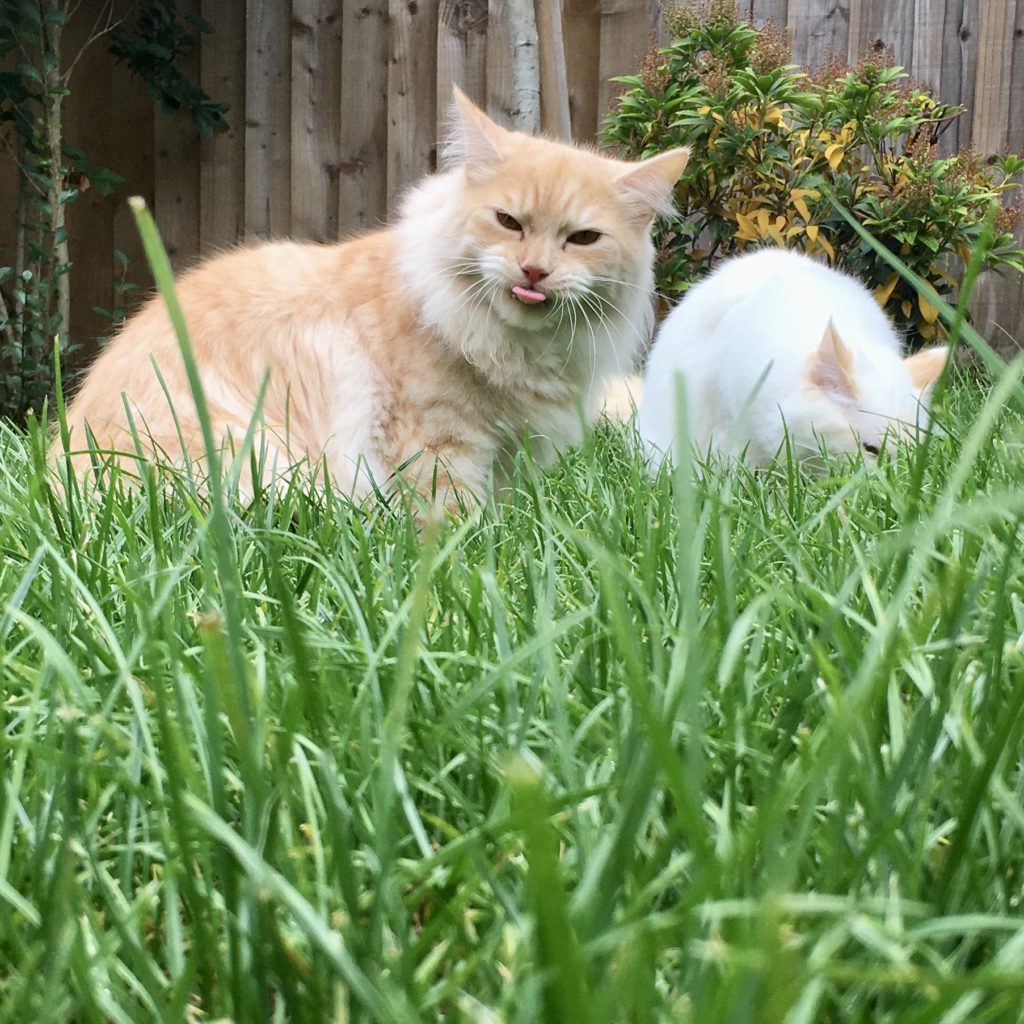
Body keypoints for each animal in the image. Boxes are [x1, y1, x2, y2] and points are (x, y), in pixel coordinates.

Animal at [61, 88, 688, 503]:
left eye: (582, 239)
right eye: (509, 222)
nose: (534, 271)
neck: (517, 346)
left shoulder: (509, 454)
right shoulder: (439, 443)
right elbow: (458, 524)